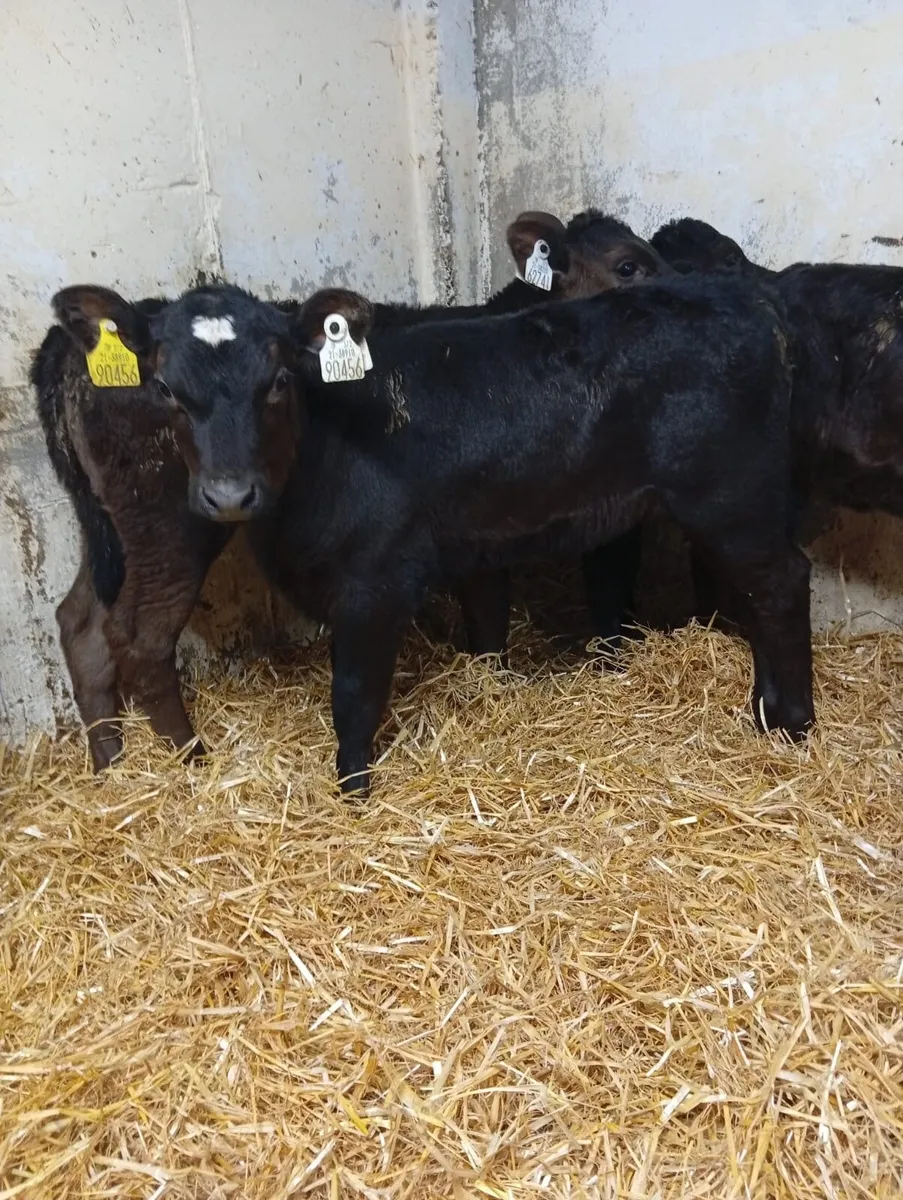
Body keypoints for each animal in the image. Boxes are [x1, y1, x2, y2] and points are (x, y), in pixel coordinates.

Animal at [35, 210, 669, 771]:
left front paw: (494, 686)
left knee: (80, 622)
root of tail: (71, 346)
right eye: (628, 265)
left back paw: (110, 762)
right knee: (138, 636)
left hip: (115, 526)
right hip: (169, 521)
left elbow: (487, 617)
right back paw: (190, 759)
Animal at [242, 273, 813, 796]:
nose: (231, 490)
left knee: (782, 584)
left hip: (731, 497)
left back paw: (794, 723)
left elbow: (355, 690)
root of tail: (750, 297)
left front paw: (353, 787)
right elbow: (486, 625)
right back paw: (764, 711)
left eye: (280, 381)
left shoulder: (377, 581)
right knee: (756, 596)